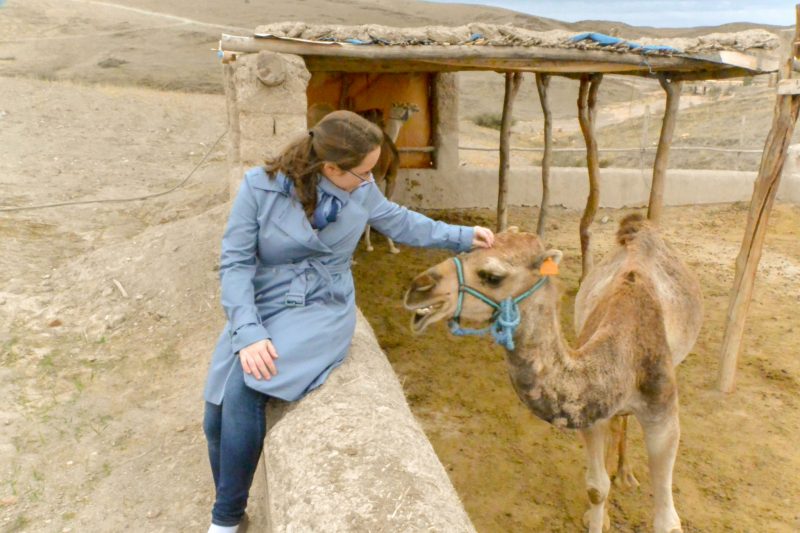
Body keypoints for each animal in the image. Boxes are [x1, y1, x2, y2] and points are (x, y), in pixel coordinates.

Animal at [403, 214, 703, 533]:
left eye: (492, 275)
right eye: (465, 252)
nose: (418, 288)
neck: (624, 350)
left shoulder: (663, 414)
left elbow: (667, 521)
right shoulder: (590, 412)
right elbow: (596, 488)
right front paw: (599, 514)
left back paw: (625, 475)